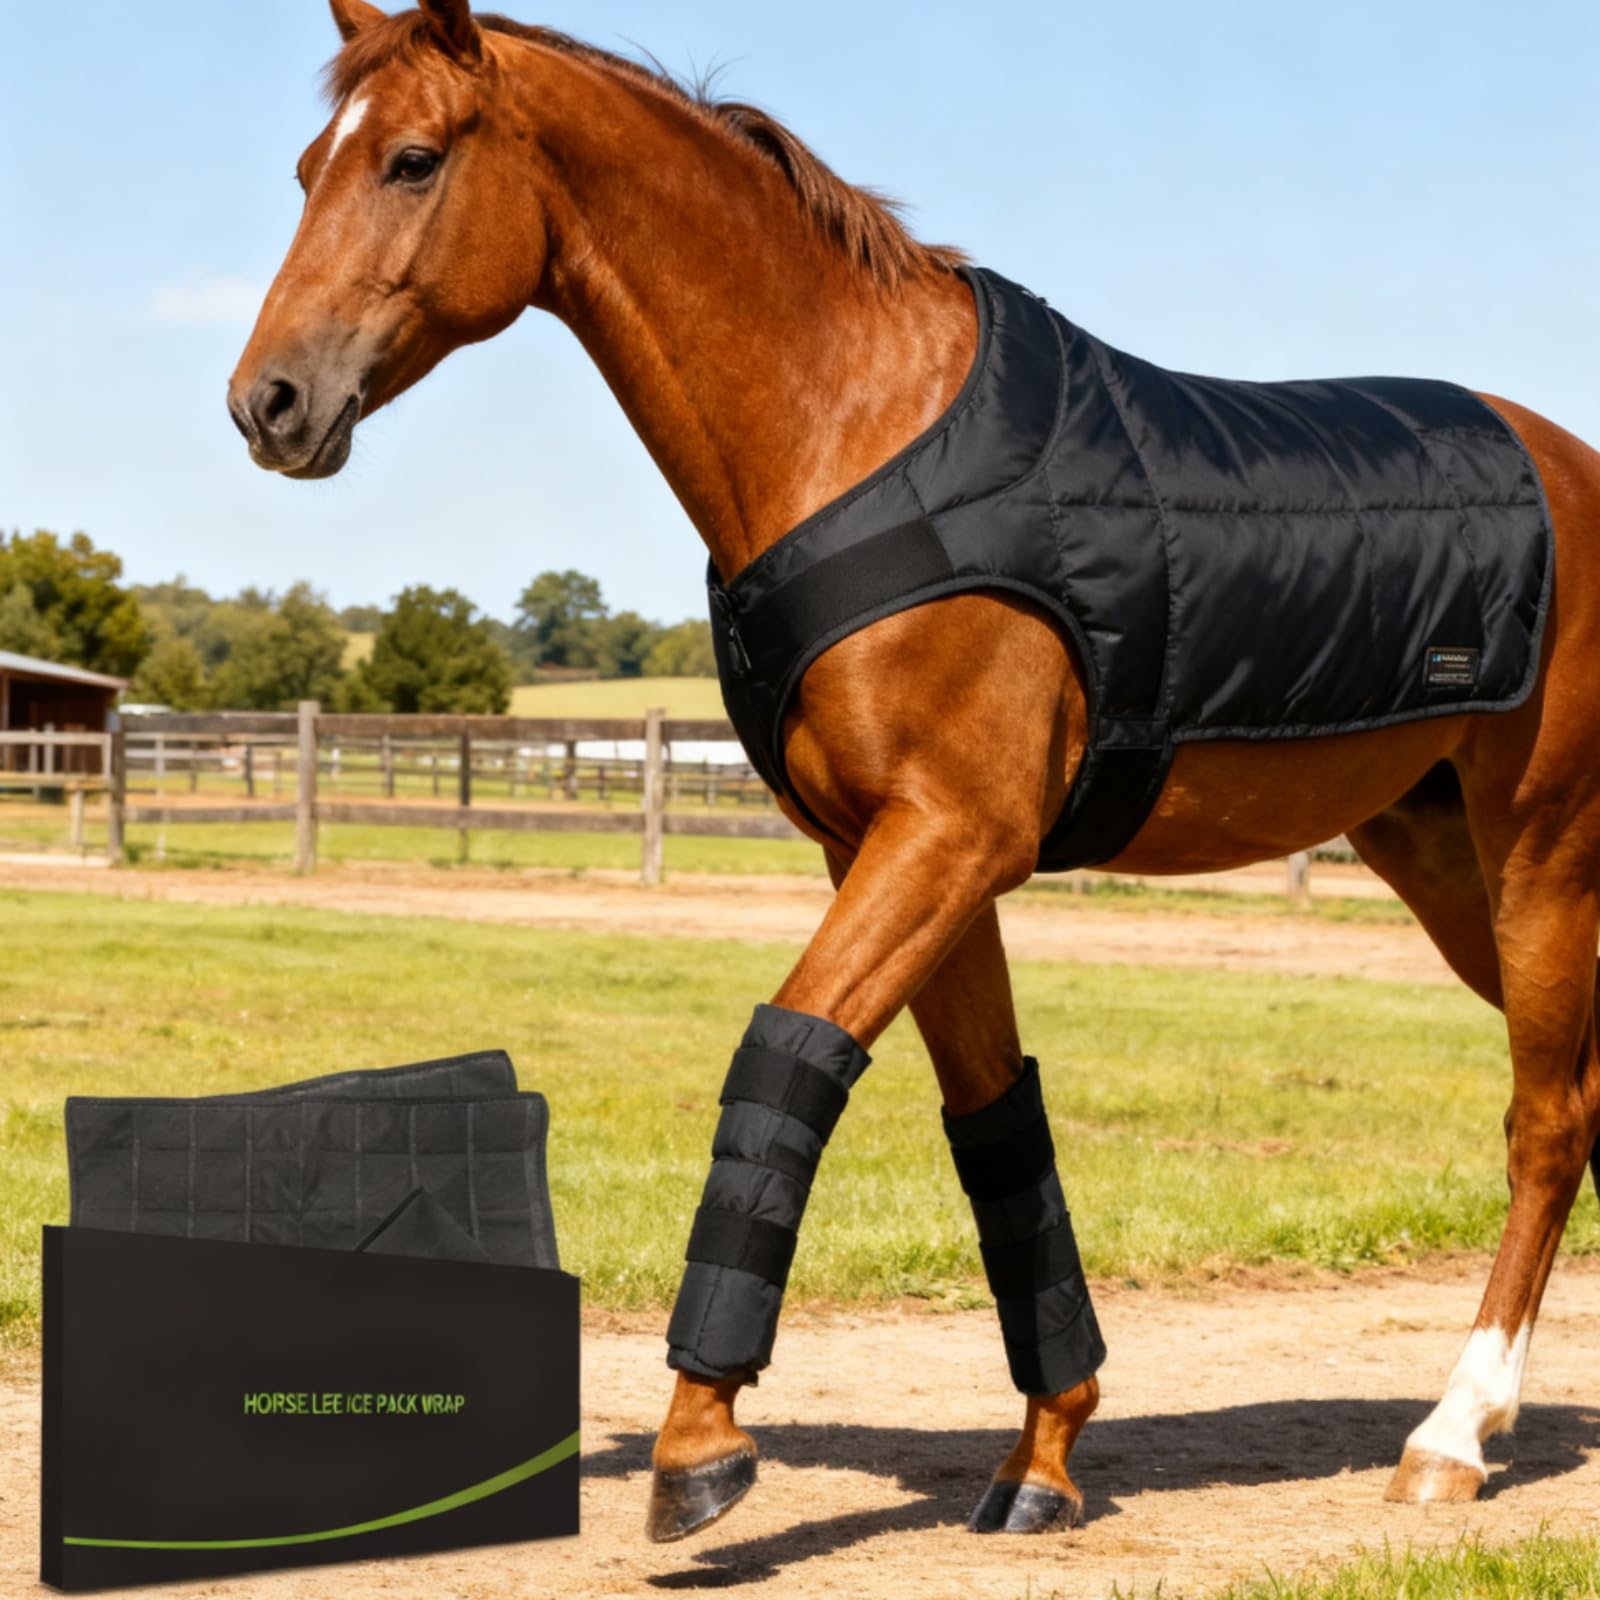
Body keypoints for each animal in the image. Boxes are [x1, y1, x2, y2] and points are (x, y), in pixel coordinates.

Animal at [229, 0, 1600, 1545]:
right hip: (1437, 858)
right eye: (307, 168)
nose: (269, 403)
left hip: (1544, 851)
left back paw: (1452, 1434)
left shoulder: (946, 839)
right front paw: (1044, 1459)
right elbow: (994, 1119)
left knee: (1547, 1120)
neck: (854, 430)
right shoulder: (902, 850)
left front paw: (700, 1442)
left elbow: (790, 1048)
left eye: (411, 159)